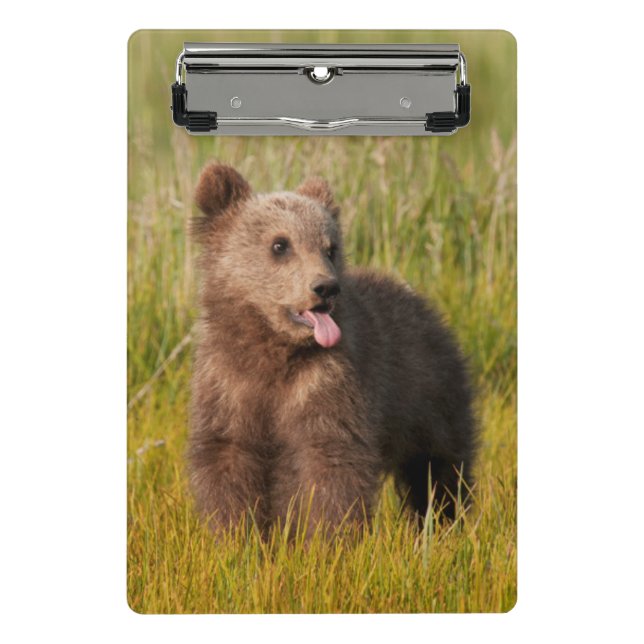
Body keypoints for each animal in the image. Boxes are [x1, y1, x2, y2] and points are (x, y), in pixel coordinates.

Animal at [188, 163, 476, 536]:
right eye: (280, 244)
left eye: (330, 247)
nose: (326, 287)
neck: (274, 350)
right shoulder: (228, 383)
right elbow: (227, 458)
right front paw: (235, 535)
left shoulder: (326, 382)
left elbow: (330, 463)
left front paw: (327, 538)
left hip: (428, 396)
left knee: (438, 468)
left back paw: (443, 523)